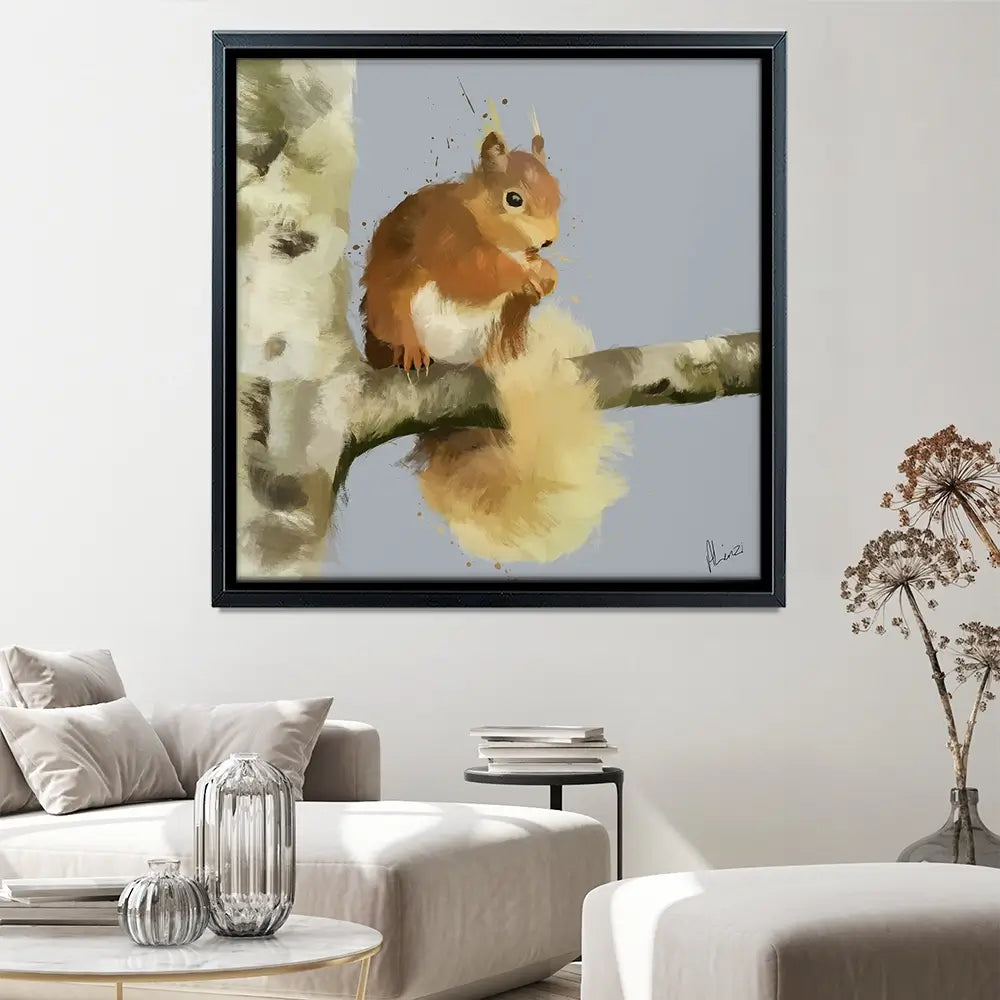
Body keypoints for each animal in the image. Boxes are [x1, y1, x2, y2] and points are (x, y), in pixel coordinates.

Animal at [361, 128, 559, 371]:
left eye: (558, 193)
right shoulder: (446, 240)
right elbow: (471, 274)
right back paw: (411, 352)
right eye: (514, 199)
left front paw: (548, 275)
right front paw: (523, 275)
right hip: (391, 310)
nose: (549, 240)